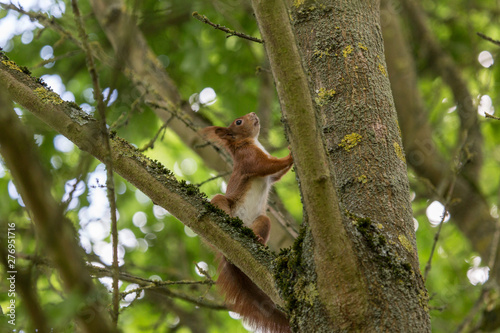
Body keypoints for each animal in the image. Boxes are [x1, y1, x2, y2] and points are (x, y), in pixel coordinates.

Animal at [200, 112, 292, 332]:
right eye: (238, 122)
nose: (253, 114)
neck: (251, 142)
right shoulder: (248, 159)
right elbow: (267, 166)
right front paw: (291, 155)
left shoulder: (268, 174)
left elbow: (276, 174)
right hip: (223, 202)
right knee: (220, 201)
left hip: (262, 220)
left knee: (262, 225)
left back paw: (258, 240)